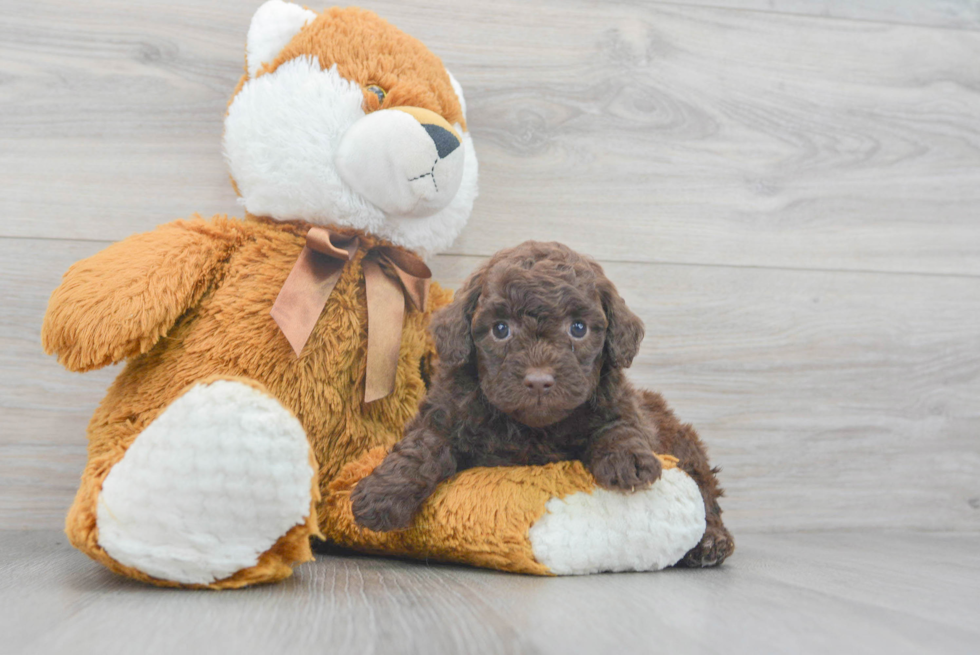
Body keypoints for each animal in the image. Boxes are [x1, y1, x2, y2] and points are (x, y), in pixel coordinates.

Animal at [354, 241, 736, 568]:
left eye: (578, 328)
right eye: (501, 329)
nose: (538, 380)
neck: (530, 428)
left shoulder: (619, 403)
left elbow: (619, 427)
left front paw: (628, 460)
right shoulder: (445, 413)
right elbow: (421, 448)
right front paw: (382, 494)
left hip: (685, 444)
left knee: (707, 494)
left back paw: (711, 543)